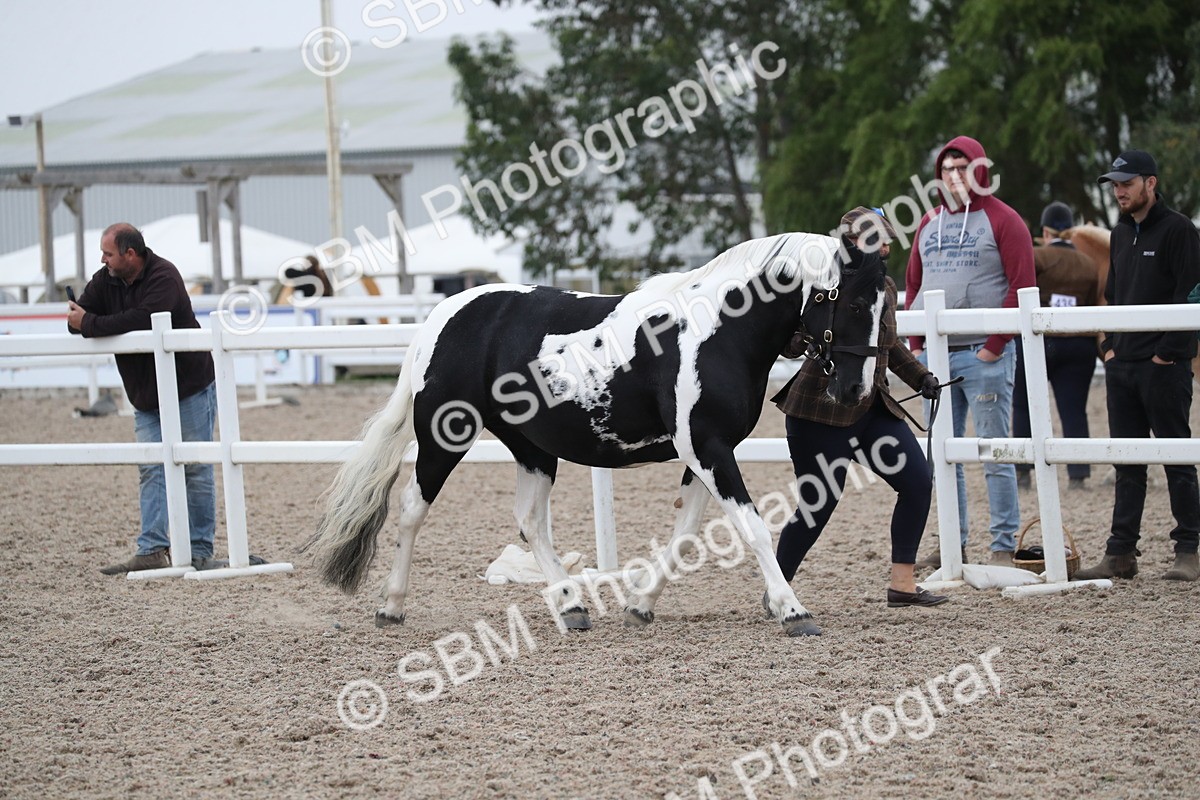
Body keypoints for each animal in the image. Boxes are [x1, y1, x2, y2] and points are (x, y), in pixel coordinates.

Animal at [302, 232, 889, 637]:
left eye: (886, 305)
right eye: (855, 303)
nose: (856, 390)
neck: (717, 331)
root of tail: (444, 315)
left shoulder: (703, 453)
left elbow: (685, 533)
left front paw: (640, 605)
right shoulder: (708, 448)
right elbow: (754, 529)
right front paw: (794, 612)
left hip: (532, 448)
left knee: (530, 522)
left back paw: (572, 605)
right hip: (446, 436)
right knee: (411, 510)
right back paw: (392, 605)